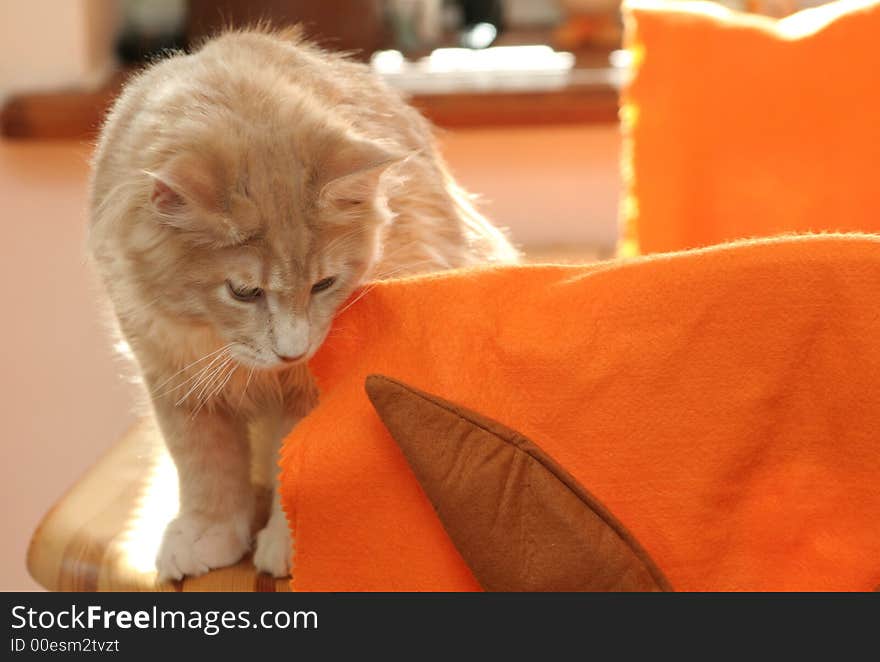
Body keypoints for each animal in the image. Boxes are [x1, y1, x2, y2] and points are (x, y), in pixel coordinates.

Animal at [87, 28, 520, 584]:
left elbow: (296, 468)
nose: (292, 350)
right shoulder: (173, 377)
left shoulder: (311, 394)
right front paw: (207, 532)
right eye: (244, 292)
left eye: (324, 284)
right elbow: (204, 465)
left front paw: (292, 544)